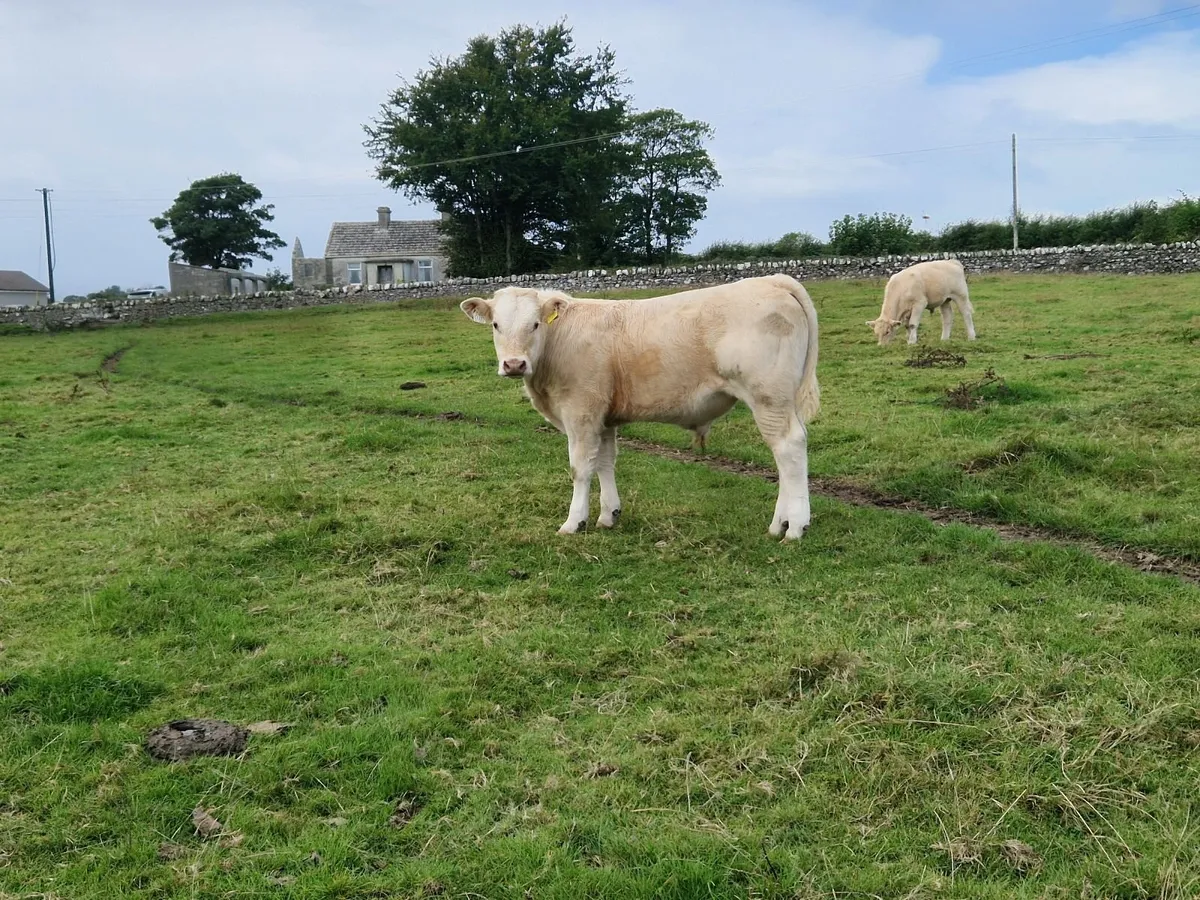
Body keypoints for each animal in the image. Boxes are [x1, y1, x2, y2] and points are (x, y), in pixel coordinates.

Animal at [460, 274, 821, 540]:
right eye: (496, 326)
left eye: (535, 324)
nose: (514, 364)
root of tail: (772, 280)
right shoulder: (604, 418)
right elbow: (605, 462)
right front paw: (608, 515)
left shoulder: (581, 412)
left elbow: (580, 468)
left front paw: (574, 522)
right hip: (783, 400)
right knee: (788, 452)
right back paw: (779, 524)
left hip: (768, 397)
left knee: (788, 449)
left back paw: (795, 527)